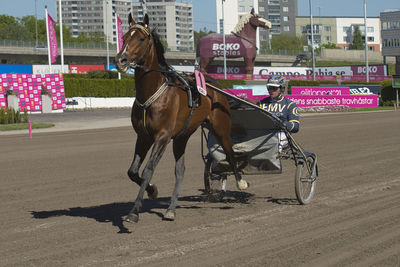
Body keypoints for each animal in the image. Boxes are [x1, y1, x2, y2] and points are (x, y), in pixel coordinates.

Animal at [114, 14, 248, 224]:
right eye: (124, 36)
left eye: (141, 38)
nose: (121, 60)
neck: (152, 93)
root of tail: (215, 86)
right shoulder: (143, 137)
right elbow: (133, 171)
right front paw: (152, 191)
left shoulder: (162, 137)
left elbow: (147, 171)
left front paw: (134, 212)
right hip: (182, 136)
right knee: (180, 170)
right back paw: (171, 209)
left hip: (221, 128)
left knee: (230, 152)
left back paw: (240, 181)